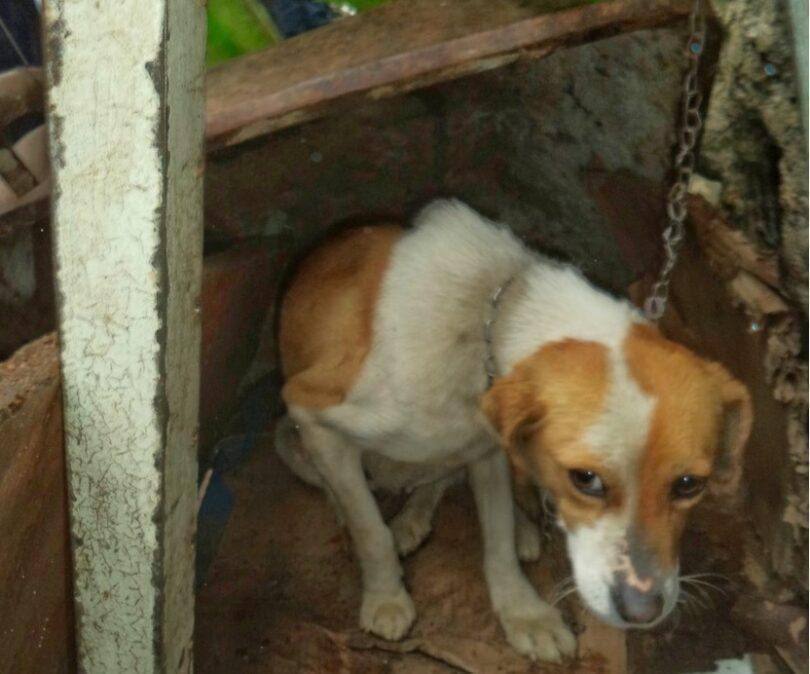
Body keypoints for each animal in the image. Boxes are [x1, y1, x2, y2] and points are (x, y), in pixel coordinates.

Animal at [274, 199, 752, 662]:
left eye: (689, 485)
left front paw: (524, 614)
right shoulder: (312, 412)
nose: (643, 613)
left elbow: (499, 538)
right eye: (585, 479)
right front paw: (386, 598)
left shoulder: (487, 449)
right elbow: (369, 529)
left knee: (441, 484)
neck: (486, 315)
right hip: (290, 444)